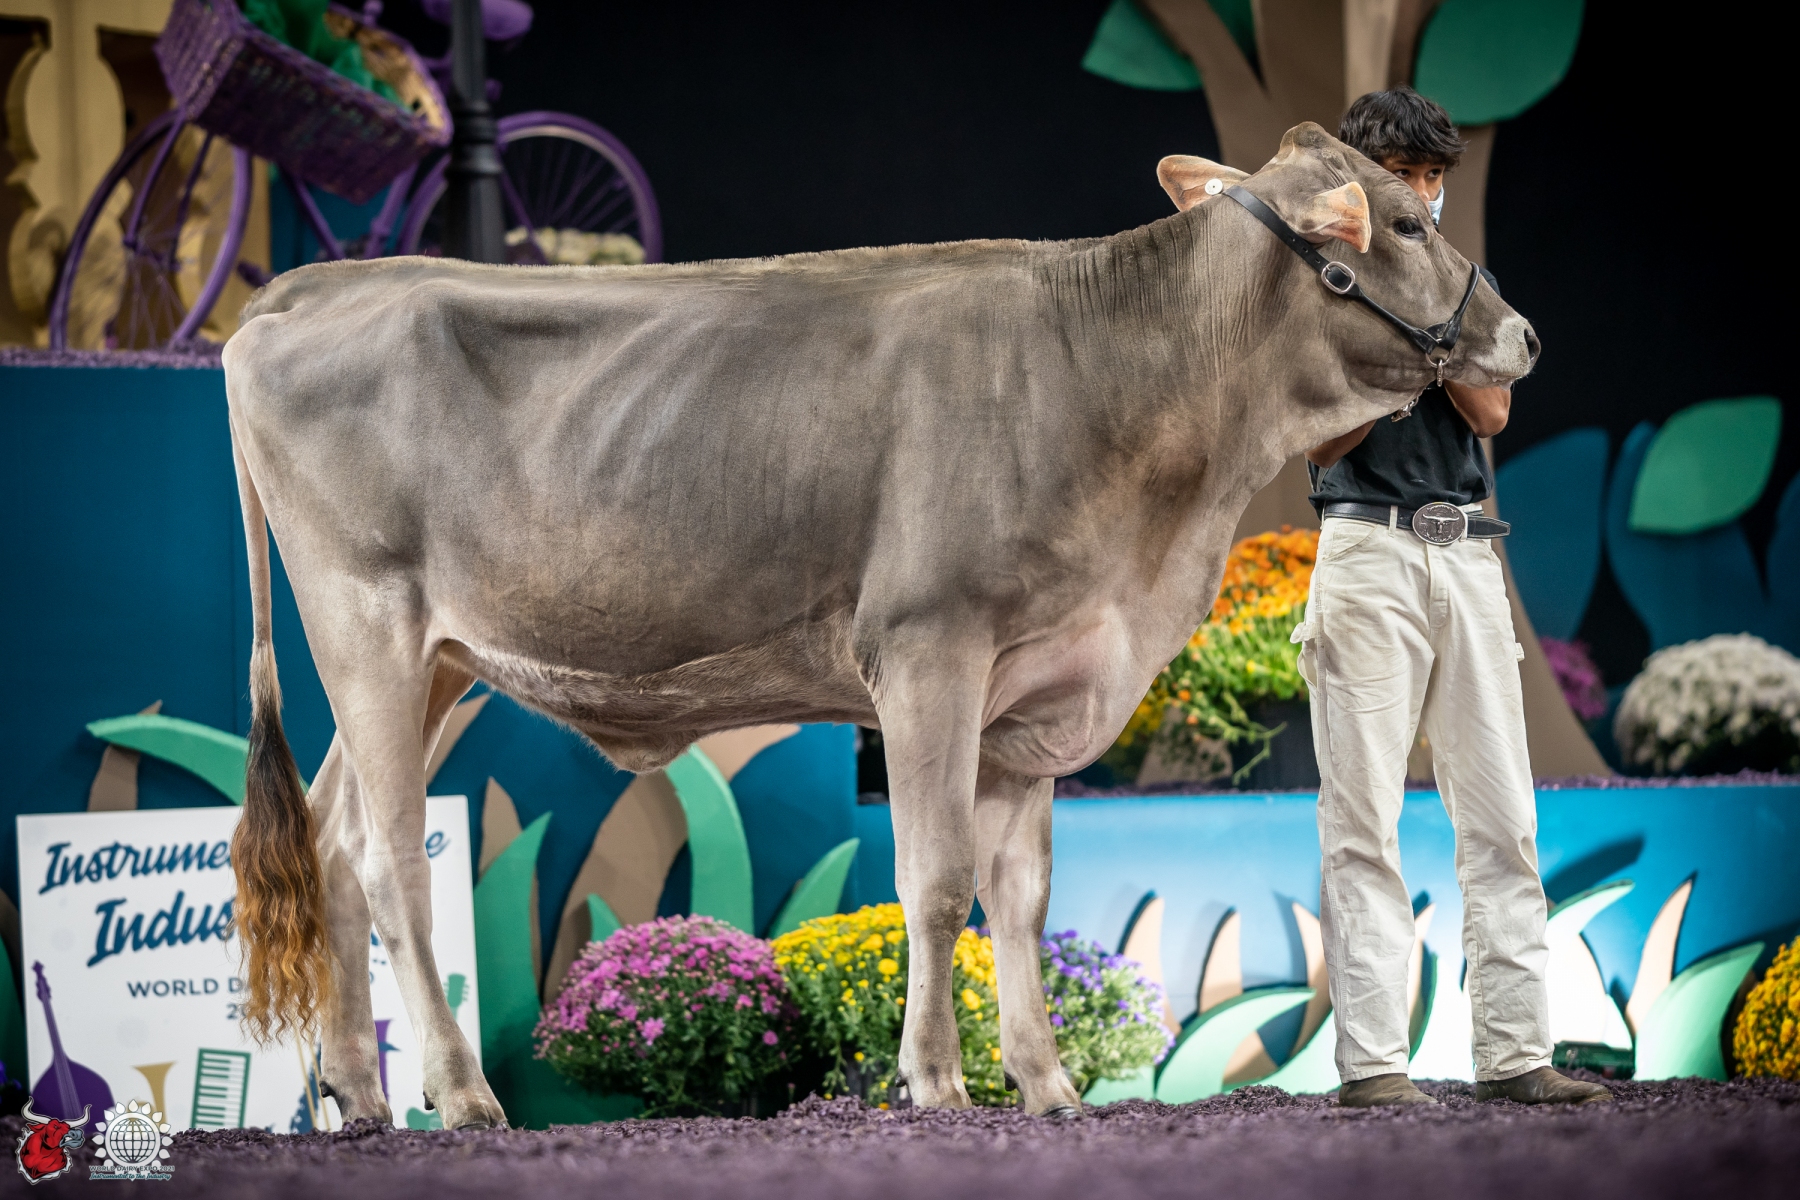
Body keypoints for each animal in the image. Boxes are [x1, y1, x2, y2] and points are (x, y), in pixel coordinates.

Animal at [223, 122, 1537, 1126]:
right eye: (1407, 226)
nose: (1521, 335)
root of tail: (314, 287)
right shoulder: (928, 650)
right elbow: (938, 880)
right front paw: (938, 1083)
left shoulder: (1036, 685)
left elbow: (1022, 897)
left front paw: (1049, 1088)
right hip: (367, 620)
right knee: (394, 860)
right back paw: (460, 1094)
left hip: (439, 663)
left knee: (335, 841)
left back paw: (360, 1098)